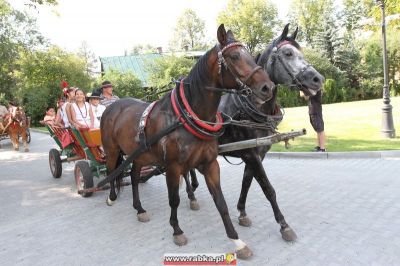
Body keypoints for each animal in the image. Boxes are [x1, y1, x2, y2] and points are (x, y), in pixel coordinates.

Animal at [184, 24, 324, 241]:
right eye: (288, 53)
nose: (318, 79)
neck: (249, 110)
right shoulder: (251, 155)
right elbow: (268, 188)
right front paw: (283, 225)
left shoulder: (256, 154)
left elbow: (247, 183)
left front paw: (242, 212)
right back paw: (191, 195)